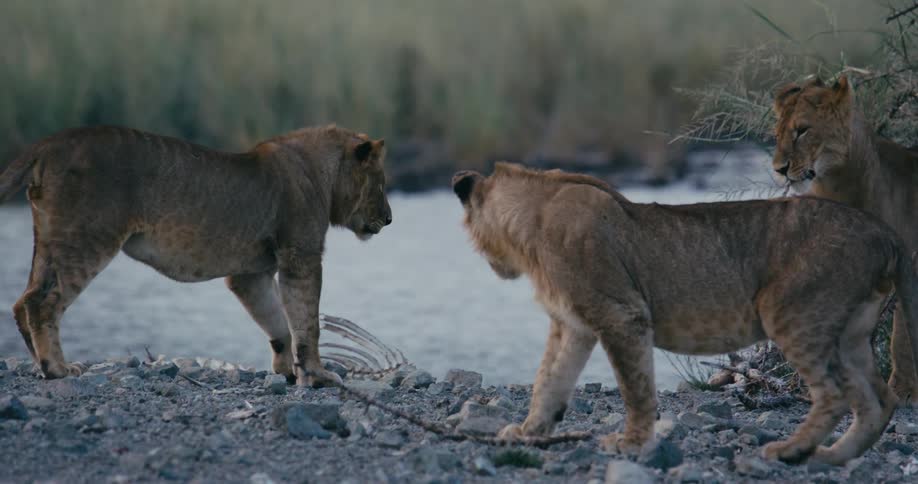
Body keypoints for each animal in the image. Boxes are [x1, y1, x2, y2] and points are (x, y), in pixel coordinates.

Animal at [0, 125, 391, 387]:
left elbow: (277, 321)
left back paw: (40, 366)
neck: (321, 172)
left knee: (22, 301)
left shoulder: (249, 275)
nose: (389, 219)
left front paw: (286, 371)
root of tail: (51, 142)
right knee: (42, 302)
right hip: (88, 239)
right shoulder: (301, 258)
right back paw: (57, 369)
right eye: (382, 183)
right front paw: (318, 375)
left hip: (52, 239)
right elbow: (307, 321)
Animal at [452, 162, 918, 465]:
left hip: (792, 313)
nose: (492, 265)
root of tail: (885, 232)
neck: (532, 219)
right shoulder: (572, 324)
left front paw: (632, 444)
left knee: (835, 395)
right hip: (851, 333)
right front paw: (528, 431)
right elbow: (549, 379)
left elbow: (635, 387)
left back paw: (791, 451)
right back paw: (831, 457)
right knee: (879, 400)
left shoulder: (622, 315)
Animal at [773, 75, 918, 404]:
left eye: (802, 130)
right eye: (777, 134)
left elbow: (902, 333)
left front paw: (903, 390)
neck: (837, 186)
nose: (779, 169)